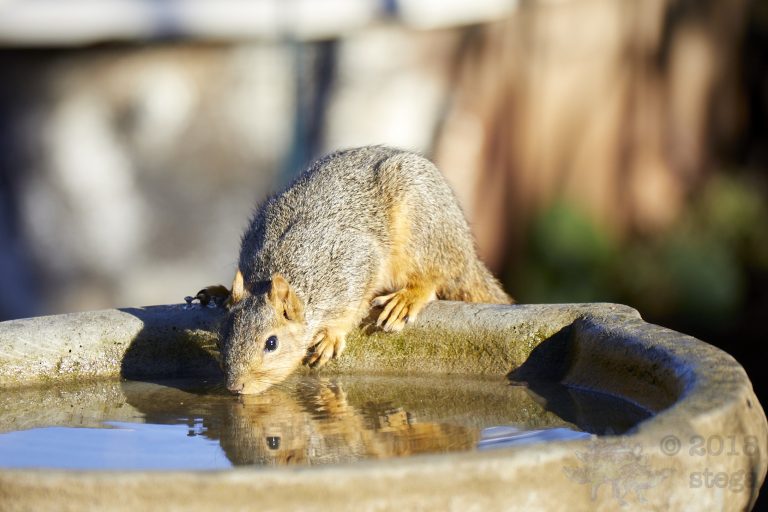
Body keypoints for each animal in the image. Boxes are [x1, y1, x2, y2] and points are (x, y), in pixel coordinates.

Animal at [197, 146, 512, 395]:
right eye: (221, 337)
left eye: (271, 343)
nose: (236, 386)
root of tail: (465, 250)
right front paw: (221, 292)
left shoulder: (354, 266)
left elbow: (352, 306)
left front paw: (331, 335)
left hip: (423, 230)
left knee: (433, 277)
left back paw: (406, 299)